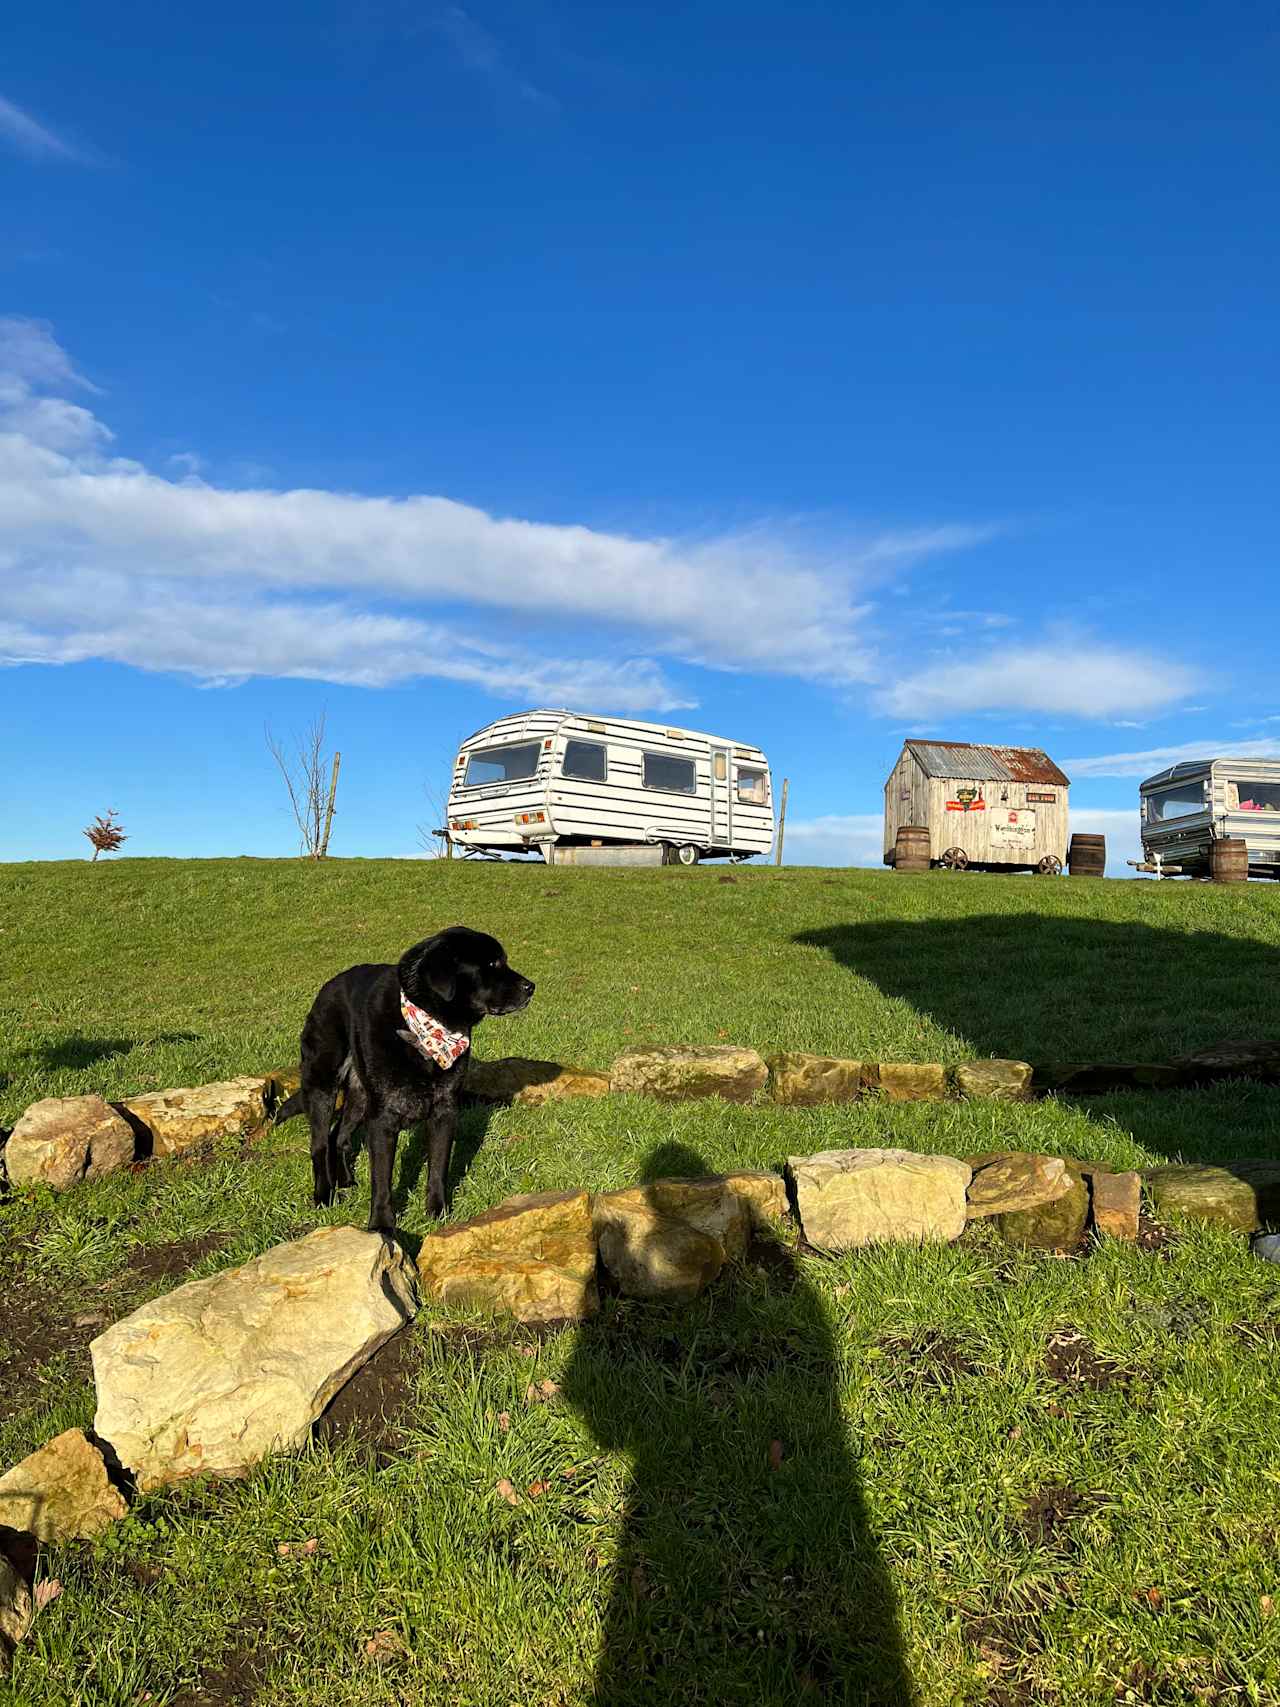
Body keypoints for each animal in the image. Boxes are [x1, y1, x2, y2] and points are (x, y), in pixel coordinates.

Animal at [278, 928, 539, 1235]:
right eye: (491, 964)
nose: (531, 987)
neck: (426, 1028)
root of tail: (325, 989)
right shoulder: (383, 1120)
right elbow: (382, 1181)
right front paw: (382, 1227)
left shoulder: (444, 1111)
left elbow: (438, 1168)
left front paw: (438, 1213)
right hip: (323, 1085)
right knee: (319, 1143)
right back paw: (324, 1195)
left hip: (361, 1096)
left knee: (338, 1135)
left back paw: (345, 1180)